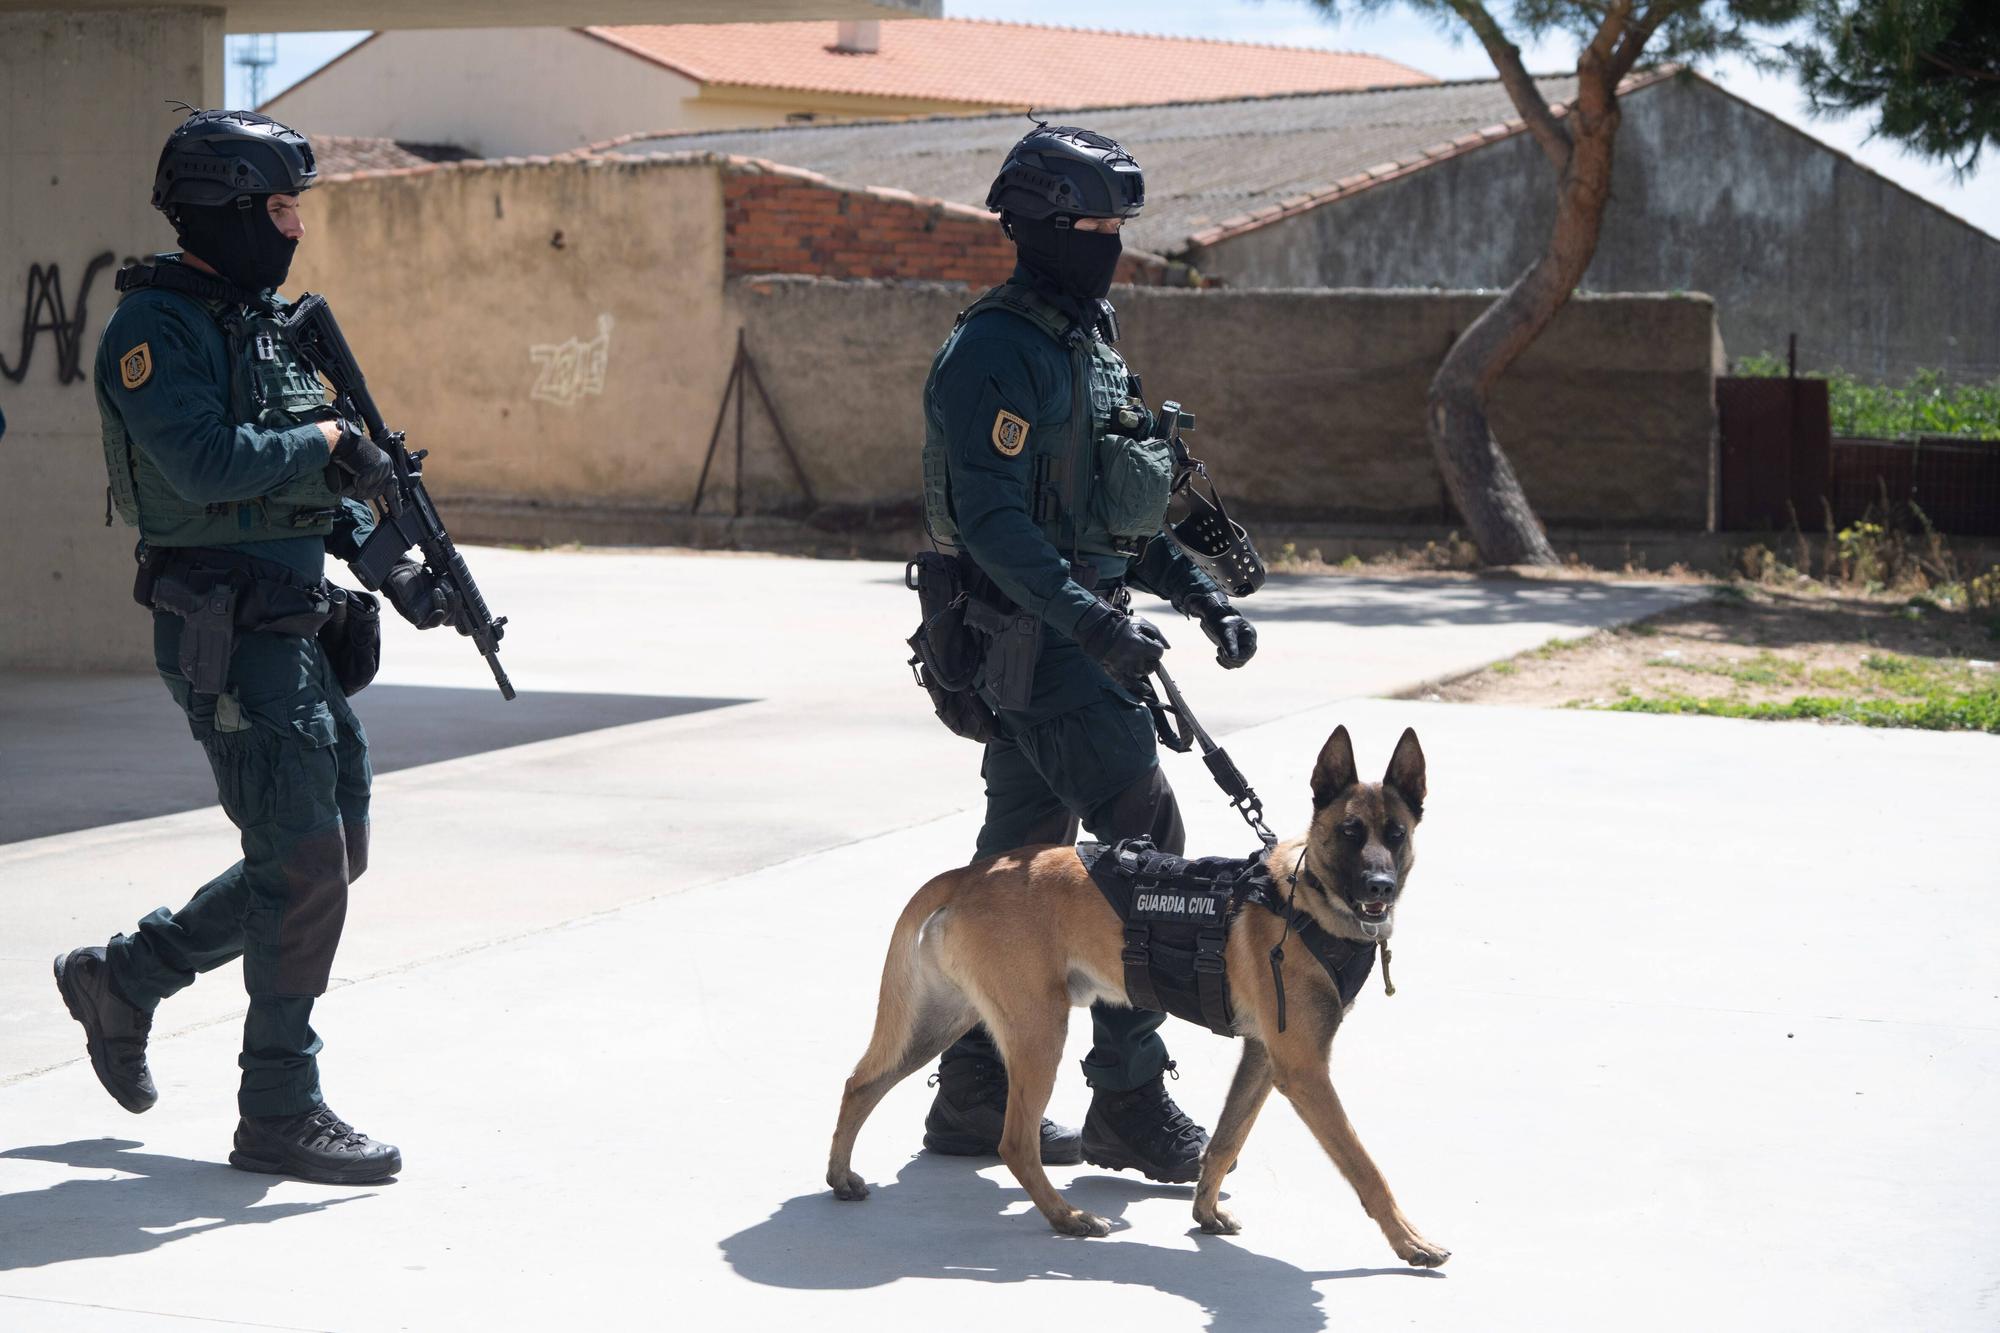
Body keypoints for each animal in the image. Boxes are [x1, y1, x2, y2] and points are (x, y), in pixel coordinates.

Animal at [820, 720, 1448, 1264]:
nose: (1380, 887)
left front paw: (1204, 1213)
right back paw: (1067, 1218)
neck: (1305, 900)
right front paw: (1409, 1242)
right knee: (1014, 1143)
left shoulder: (1265, 1057)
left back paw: (840, 1177)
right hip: (1038, 1033)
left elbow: (1226, 1140)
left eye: (1396, 835)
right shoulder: (1304, 1070)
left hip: (943, 1020)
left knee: (861, 1083)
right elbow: (1365, 1166)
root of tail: (971, 873)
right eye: (1349, 834)